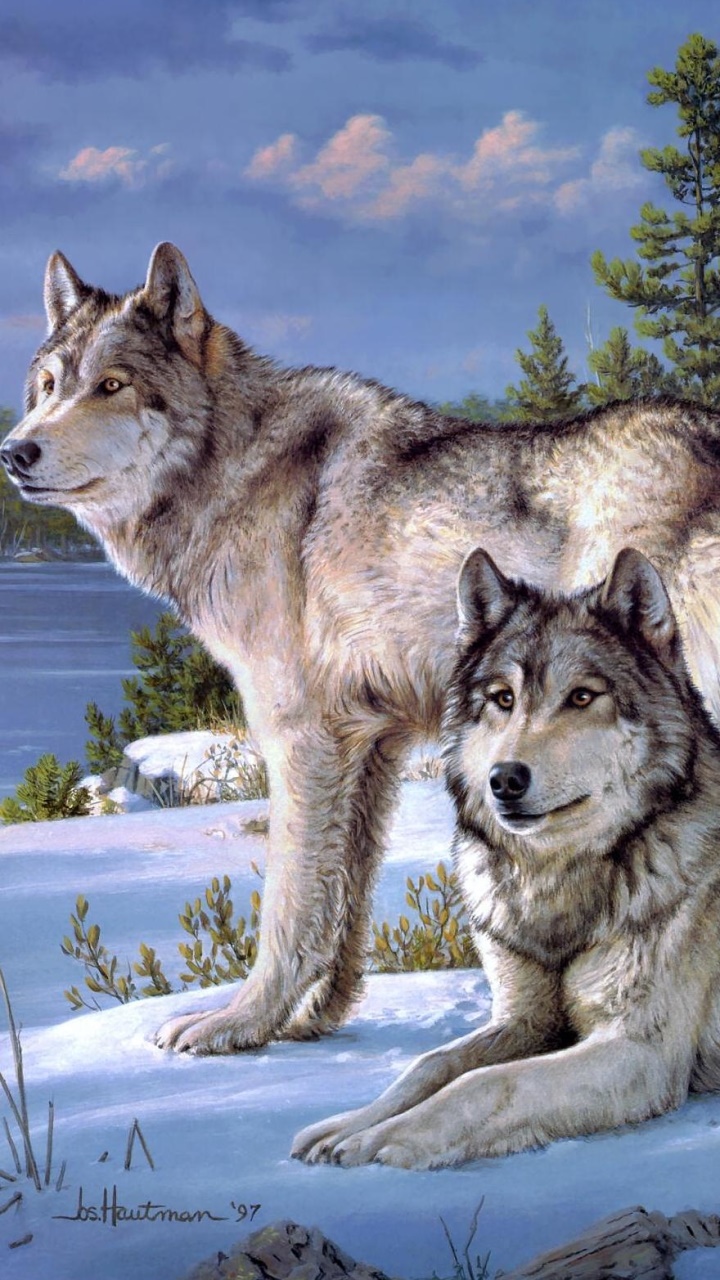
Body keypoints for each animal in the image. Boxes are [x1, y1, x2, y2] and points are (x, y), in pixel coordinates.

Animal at [3, 244, 720, 1057]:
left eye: (112, 386)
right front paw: (314, 1018)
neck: (234, 468)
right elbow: (342, 905)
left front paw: (239, 1024)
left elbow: (289, 908)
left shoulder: (299, 738)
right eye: (49, 386)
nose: (15, 451)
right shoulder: (370, 745)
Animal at [292, 547, 720, 1168]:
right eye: (503, 700)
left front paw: (386, 1141)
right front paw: (346, 1125)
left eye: (582, 697)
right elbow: (430, 1066)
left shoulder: (640, 1051)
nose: (505, 780)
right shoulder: (524, 1020)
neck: (555, 884)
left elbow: (489, 1083)